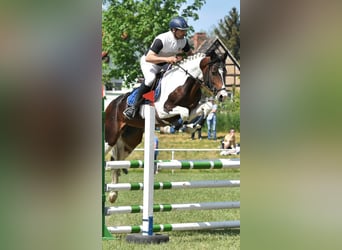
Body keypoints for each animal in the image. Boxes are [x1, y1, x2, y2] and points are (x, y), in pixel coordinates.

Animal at [104, 51, 227, 202]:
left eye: (225, 72)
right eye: (214, 71)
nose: (223, 96)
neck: (185, 85)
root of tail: (112, 103)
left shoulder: (193, 108)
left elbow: (206, 107)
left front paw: (192, 126)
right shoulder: (163, 111)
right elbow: (184, 113)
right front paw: (181, 127)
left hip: (130, 141)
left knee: (116, 161)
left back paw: (113, 194)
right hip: (111, 137)